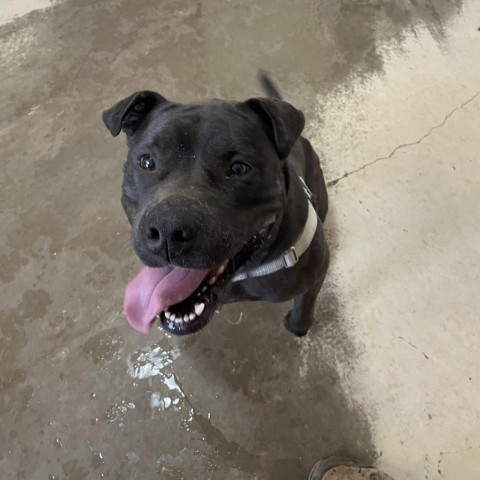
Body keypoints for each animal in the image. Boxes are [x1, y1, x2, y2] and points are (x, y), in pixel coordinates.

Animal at [102, 75, 328, 338]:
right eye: (146, 162)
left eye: (239, 168)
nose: (168, 228)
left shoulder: (316, 272)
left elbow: (304, 307)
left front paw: (297, 325)